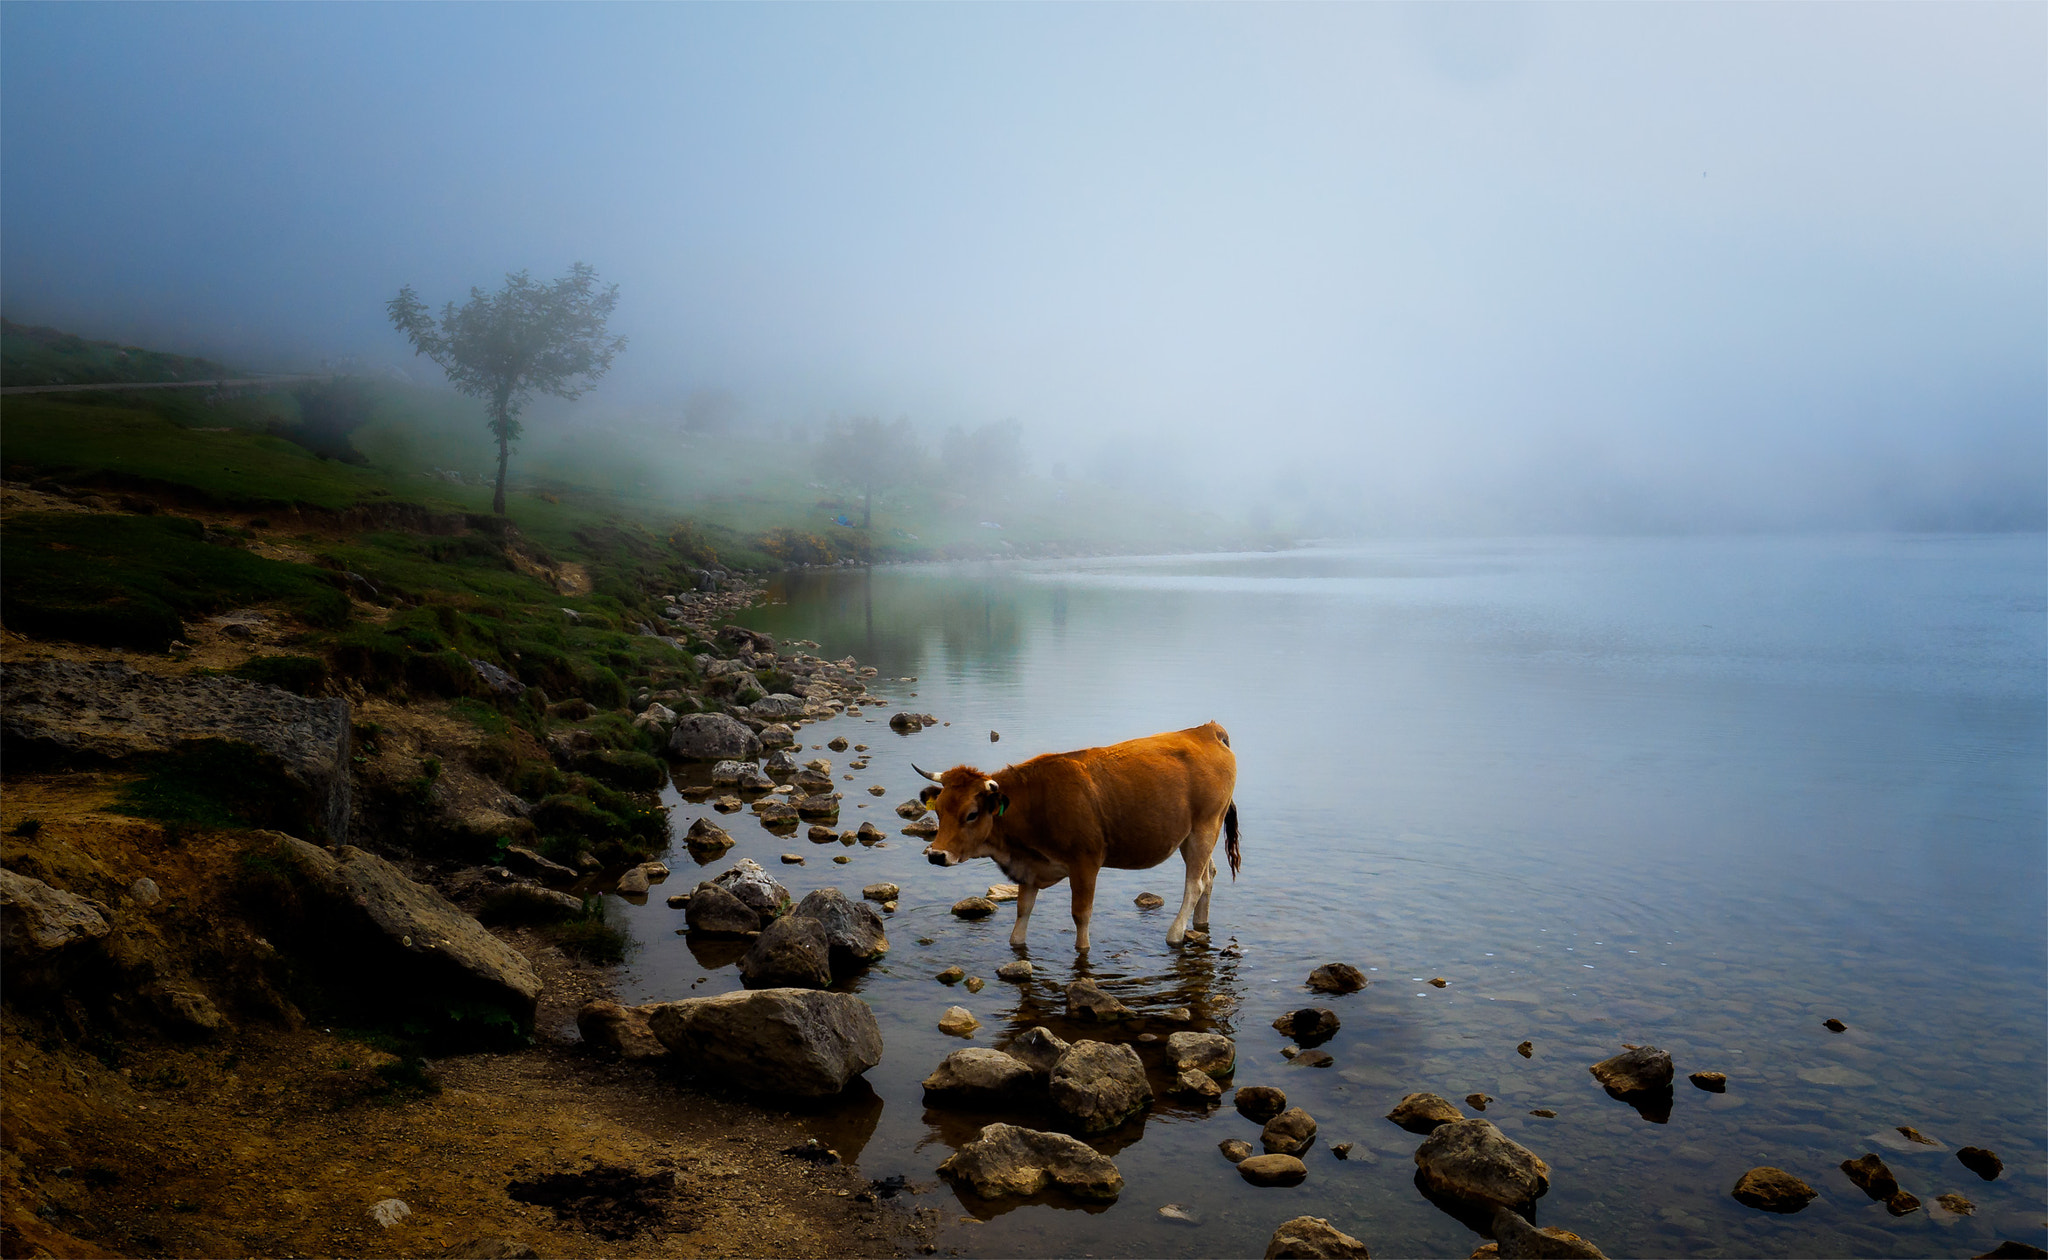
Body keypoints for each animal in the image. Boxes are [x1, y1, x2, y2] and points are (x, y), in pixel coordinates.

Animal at [921, 725, 1236, 950]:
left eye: (971, 814)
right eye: (939, 810)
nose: (936, 855)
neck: (1034, 802)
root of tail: (1206, 730)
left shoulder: (1085, 863)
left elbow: (1080, 915)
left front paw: (1082, 949)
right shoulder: (1030, 868)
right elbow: (1023, 913)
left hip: (1205, 826)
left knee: (1194, 883)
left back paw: (1174, 934)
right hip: (1192, 835)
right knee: (1209, 874)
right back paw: (1199, 923)